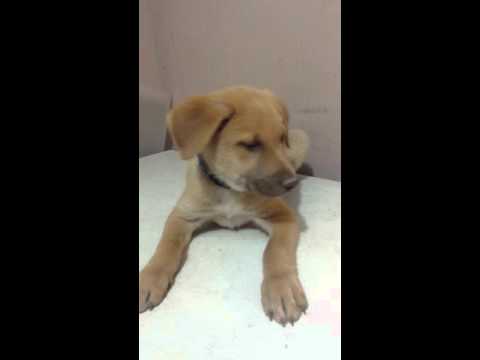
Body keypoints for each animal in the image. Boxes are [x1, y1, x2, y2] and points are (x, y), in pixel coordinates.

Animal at [139, 86, 312, 326]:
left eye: (281, 139)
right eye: (250, 145)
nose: (291, 183)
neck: (230, 188)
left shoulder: (283, 217)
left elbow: (275, 251)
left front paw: (281, 289)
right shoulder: (182, 215)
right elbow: (166, 247)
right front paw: (150, 278)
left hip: (301, 139)